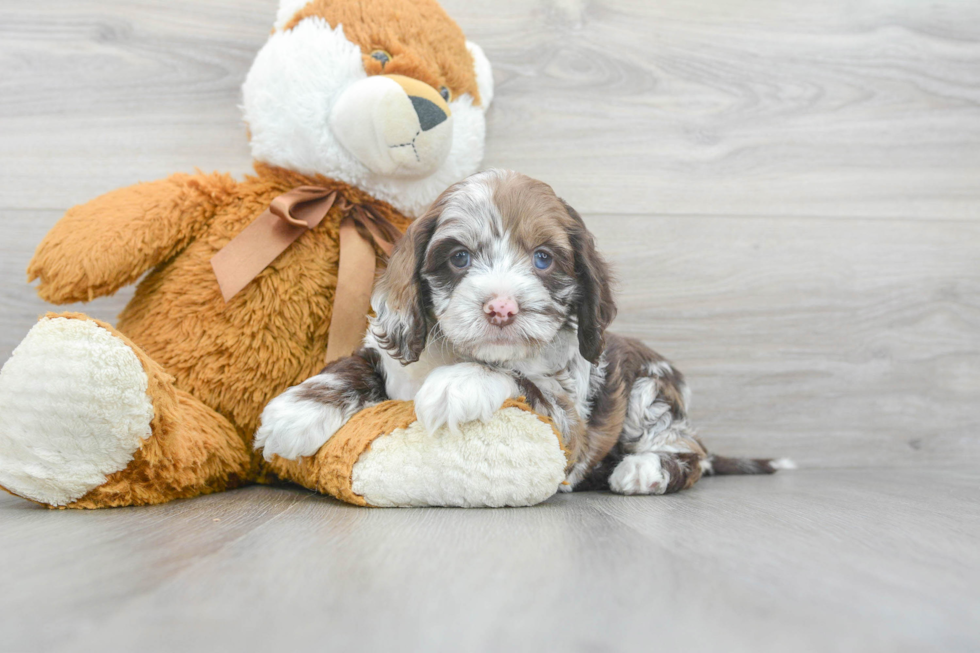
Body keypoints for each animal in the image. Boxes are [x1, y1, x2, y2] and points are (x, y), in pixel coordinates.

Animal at [255, 169, 788, 494]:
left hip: (648, 393)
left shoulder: (567, 419)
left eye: (543, 259)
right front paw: (295, 411)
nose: (502, 307)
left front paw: (456, 384)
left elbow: (517, 375)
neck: (453, 348)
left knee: (690, 451)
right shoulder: (392, 355)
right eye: (459, 257)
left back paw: (642, 470)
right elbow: (352, 365)